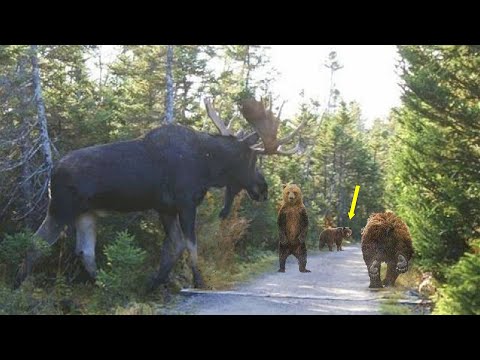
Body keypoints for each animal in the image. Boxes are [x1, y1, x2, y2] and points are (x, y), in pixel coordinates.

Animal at [19, 97, 304, 290]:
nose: (263, 189)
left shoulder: (165, 207)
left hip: (86, 214)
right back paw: (20, 287)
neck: (208, 167)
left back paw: (108, 287)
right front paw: (197, 280)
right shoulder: (186, 203)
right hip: (61, 209)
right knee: (34, 244)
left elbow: (174, 246)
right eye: (251, 160)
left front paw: (155, 283)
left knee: (84, 252)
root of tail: (51, 172)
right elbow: (190, 244)